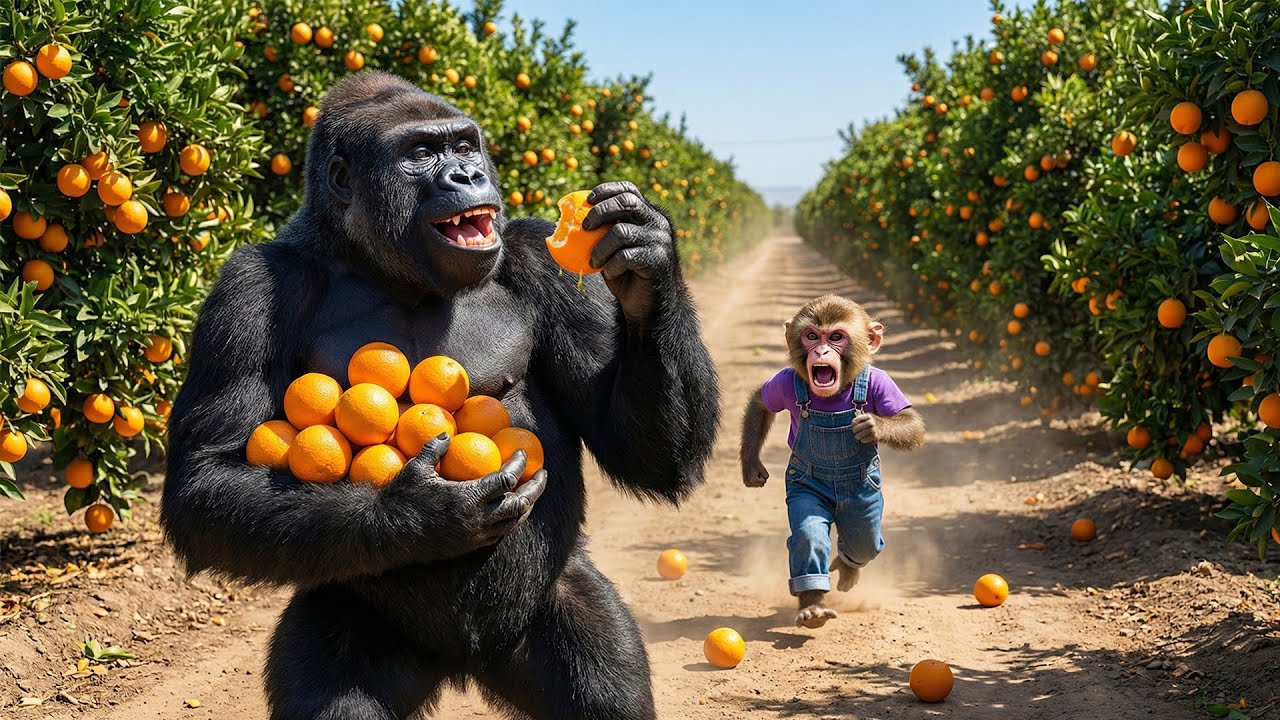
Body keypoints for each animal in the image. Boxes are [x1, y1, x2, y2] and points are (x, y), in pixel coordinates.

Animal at [739, 294, 924, 628]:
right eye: (812, 336)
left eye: (836, 337)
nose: (821, 351)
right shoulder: (785, 381)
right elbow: (761, 401)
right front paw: (752, 467)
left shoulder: (882, 383)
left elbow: (911, 422)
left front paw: (872, 426)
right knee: (815, 535)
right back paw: (814, 606)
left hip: (866, 509)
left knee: (864, 541)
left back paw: (848, 568)